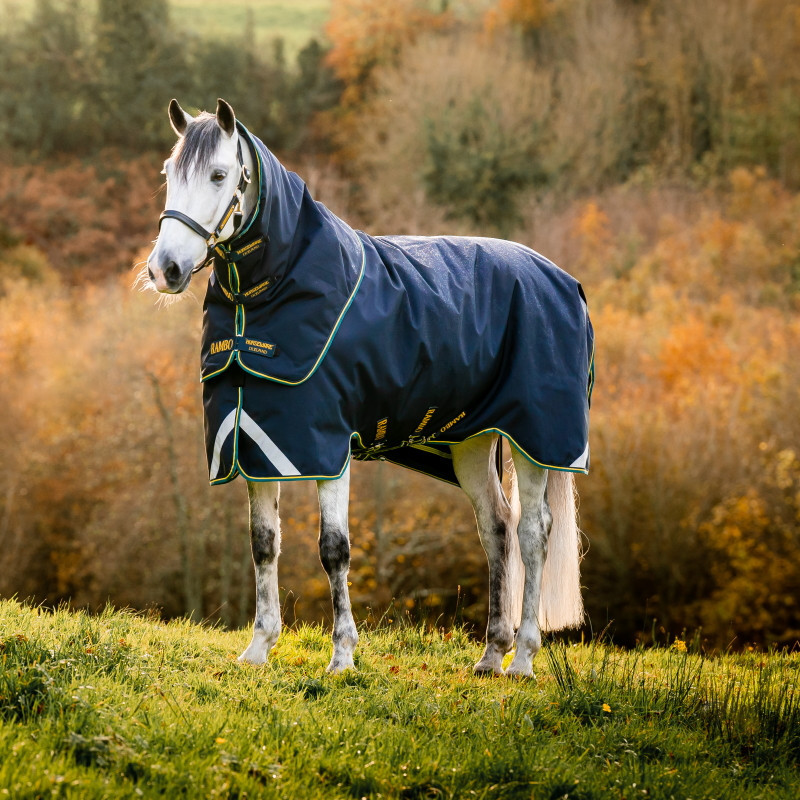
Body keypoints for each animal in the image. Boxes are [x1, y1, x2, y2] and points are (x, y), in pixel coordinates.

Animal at [146, 98, 593, 677]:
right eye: (168, 175)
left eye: (219, 175)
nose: (165, 269)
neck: (269, 294)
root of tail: (563, 281)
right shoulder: (258, 440)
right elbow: (264, 544)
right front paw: (258, 648)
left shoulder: (327, 446)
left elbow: (333, 548)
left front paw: (342, 655)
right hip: (471, 443)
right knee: (496, 529)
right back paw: (492, 654)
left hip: (535, 438)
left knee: (533, 534)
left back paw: (523, 658)